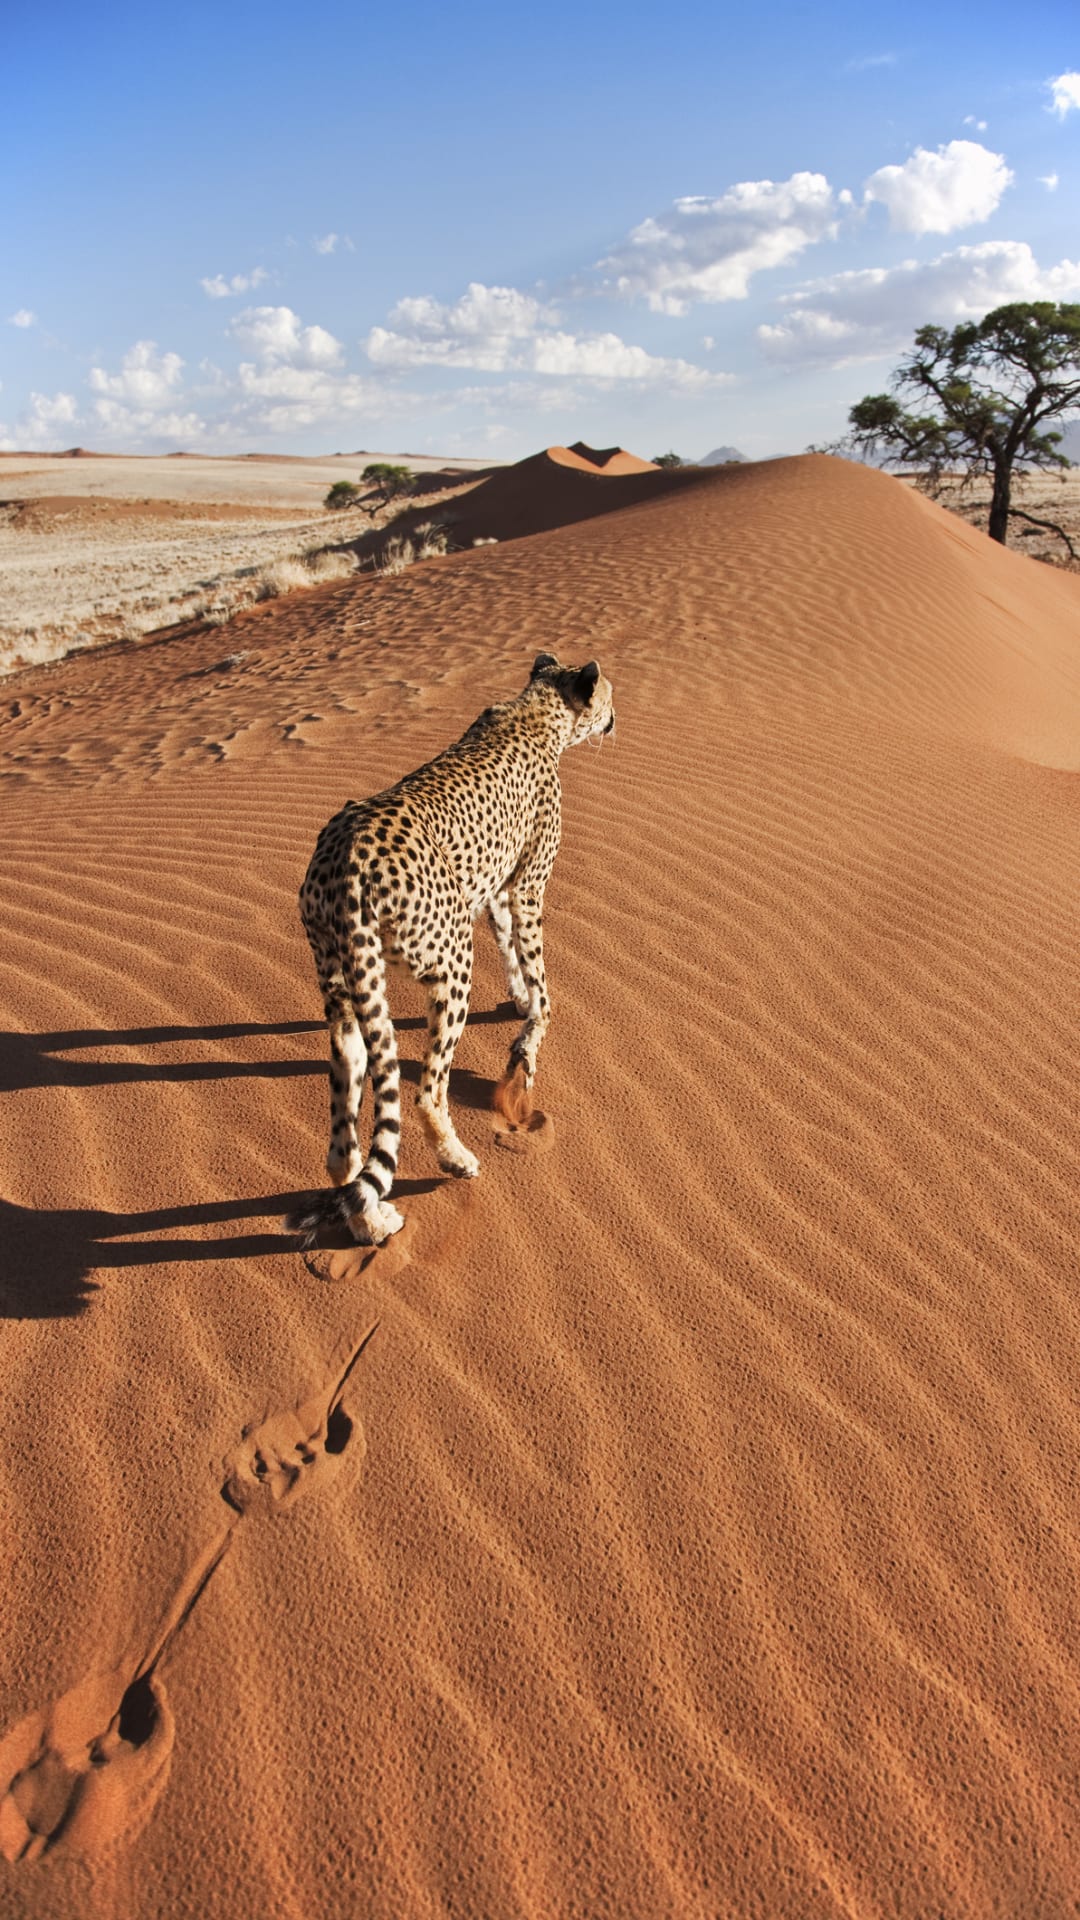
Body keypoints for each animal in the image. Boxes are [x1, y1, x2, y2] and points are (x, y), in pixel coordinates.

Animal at [284, 648, 614, 1244]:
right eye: (606, 697)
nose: (615, 718)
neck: (539, 711)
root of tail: (346, 857)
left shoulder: (494, 893)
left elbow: (510, 951)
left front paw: (519, 1003)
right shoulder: (526, 889)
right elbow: (543, 986)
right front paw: (525, 1051)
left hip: (340, 976)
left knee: (345, 1128)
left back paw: (370, 1222)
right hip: (451, 957)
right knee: (424, 1089)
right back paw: (454, 1158)